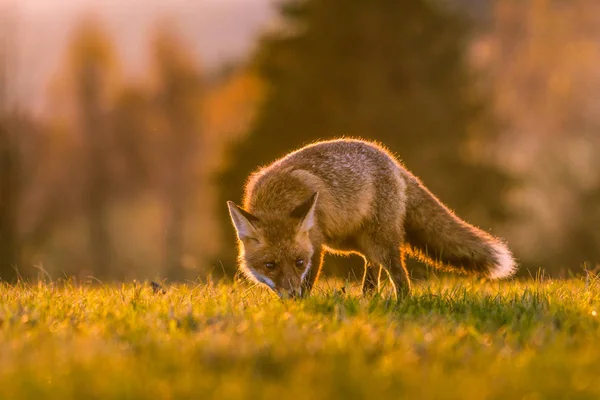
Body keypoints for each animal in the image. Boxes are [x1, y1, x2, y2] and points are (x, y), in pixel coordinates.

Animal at [227, 138, 516, 296]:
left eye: (299, 262)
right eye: (270, 265)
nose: (292, 294)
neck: (278, 198)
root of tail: (395, 162)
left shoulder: (315, 245)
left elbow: (309, 281)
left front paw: (301, 306)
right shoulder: (318, 244)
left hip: (380, 242)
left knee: (400, 276)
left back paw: (401, 304)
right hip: (348, 241)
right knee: (372, 266)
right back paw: (368, 297)